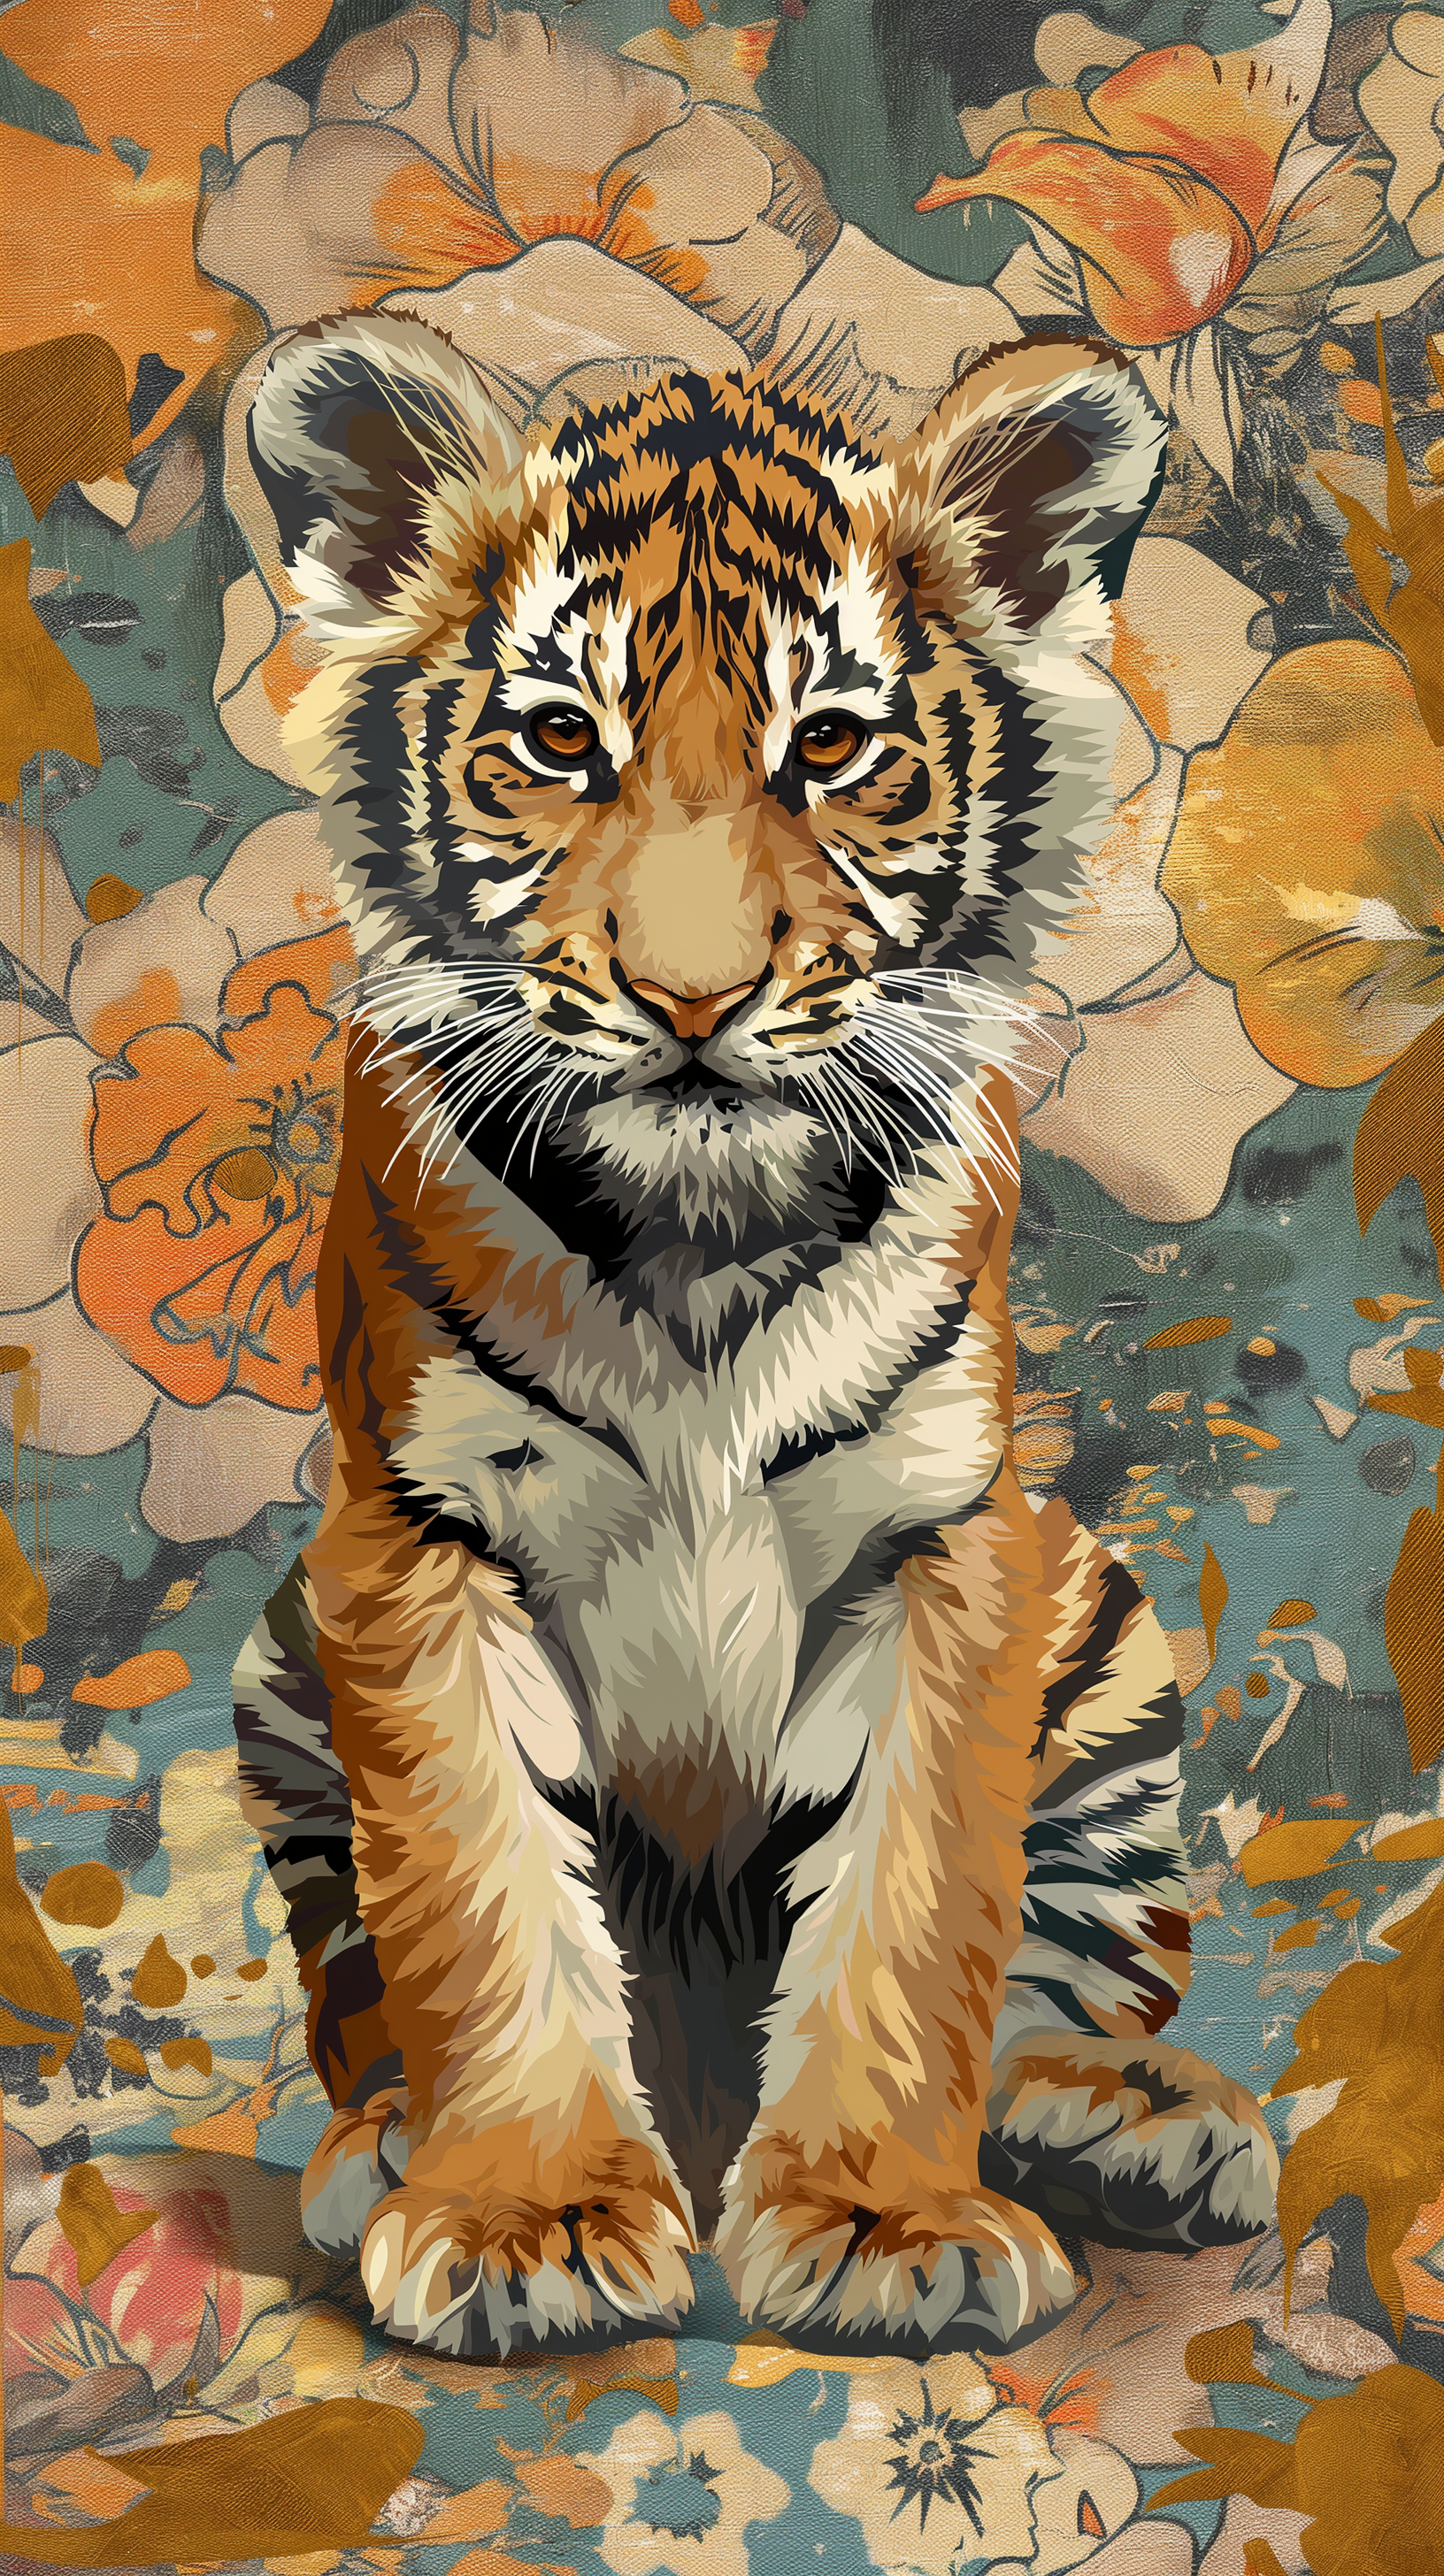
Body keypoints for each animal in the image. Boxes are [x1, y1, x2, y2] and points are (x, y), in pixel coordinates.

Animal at [231, 311, 1279, 2363]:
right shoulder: (417, 1547)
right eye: (563, 740)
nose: (694, 999)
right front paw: (524, 2220)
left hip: (1101, 1621)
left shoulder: (944, 1546)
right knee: (366, 1995)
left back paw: (1130, 2120)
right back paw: (379, 2153)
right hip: (287, 1656)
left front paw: (884, 2221)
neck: (697, 1241)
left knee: (1068, 1972)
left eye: (834, 748)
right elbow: (476, 1891)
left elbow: (920, 1906)